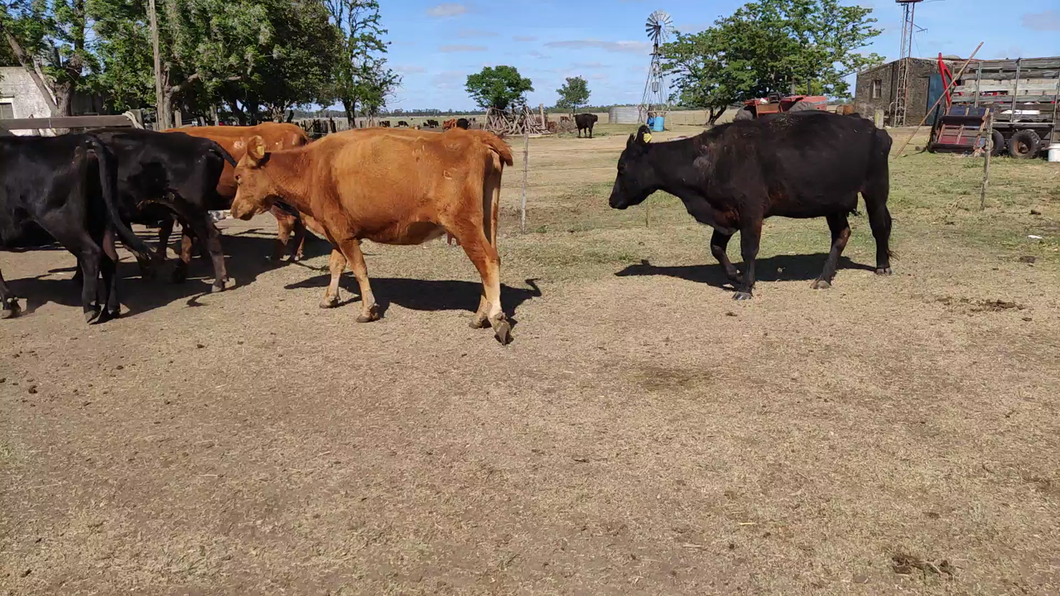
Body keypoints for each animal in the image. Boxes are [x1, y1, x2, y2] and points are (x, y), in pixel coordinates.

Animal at [0, 133, 153, 320]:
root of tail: (84, 139)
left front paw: (9, 304)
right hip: (102, 218)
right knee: (109, 256)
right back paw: (111, 309)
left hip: (60, 219)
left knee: (91, 252)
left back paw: (90, 307)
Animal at [92, 128, 236, 290]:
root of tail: (203, 143)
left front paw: (148, 270)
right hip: (185, 212)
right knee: (188, 238)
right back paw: (178, 275)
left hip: (190, 209)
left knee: (210, 235)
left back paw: (218, 281)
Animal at [230, 126, 515, 343]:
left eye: (238, 177)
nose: (233, 210)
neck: (309, 167)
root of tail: (474, 136)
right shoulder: (336, 231)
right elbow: (336, 265)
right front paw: (330, 298)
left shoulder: (342, 232)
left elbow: (358, 268)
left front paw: (367, 309)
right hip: (487, 221)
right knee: (487, 263)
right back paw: (480, 315)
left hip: (463, 224)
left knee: (487, 261)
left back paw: (495, 317)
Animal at [610, 111, 890, 296]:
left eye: (622, 167)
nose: (612, 200)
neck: (709, 161)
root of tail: (871, 127)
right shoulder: (726, 214)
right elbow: (716, 247)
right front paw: (735, 276)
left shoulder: (751, 211)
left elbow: (749, 249)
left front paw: (745, 287)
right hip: (834, 203)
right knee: (841, 234)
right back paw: (824, 277)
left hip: (876, 190)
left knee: (880, 225)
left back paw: (882, 266)